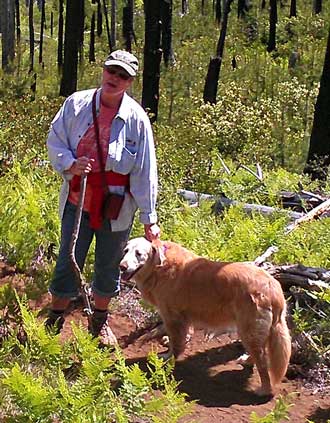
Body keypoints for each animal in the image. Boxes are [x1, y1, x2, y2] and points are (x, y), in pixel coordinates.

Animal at [120, 238, 290, 398]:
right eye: (125, 250)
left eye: (139, 254)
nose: (122, 267)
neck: (158, 266)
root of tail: (274, 288)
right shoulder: (182, 316)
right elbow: (182, 336)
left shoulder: (171, 316)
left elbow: (176, 343)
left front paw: (169, 357)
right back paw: (246, 360)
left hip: (249, 330)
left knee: (262, 363)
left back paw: (264, 390)